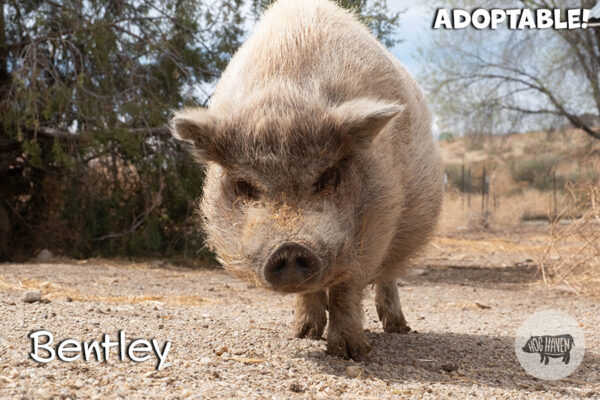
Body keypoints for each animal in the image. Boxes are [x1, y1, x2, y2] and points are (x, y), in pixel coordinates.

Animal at [171, 0, 442, 360]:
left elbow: (346, 290)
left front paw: (350, 352)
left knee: (389, 275)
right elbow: (313, 293)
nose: (289, 247)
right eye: (245, 186)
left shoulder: (378, 224)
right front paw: (302, 335)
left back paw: (398, 328)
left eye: (327, 176)